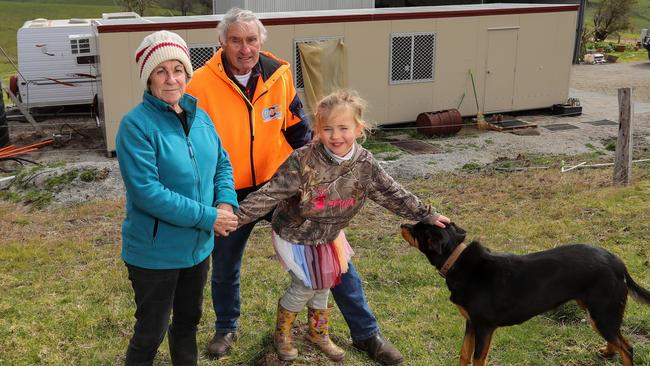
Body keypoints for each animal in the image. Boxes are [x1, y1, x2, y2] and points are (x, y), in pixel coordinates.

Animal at [400, 220, 648, 366]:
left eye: (417, 229)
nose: (402, 223)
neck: (457, 260)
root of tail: (618, 263)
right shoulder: (470, 323)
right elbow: (464, 354)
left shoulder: (484, 327)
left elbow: (478, 359)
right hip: (596, 313)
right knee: (616, 341)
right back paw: (607, 353)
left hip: (603, 313)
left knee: (627, 348)